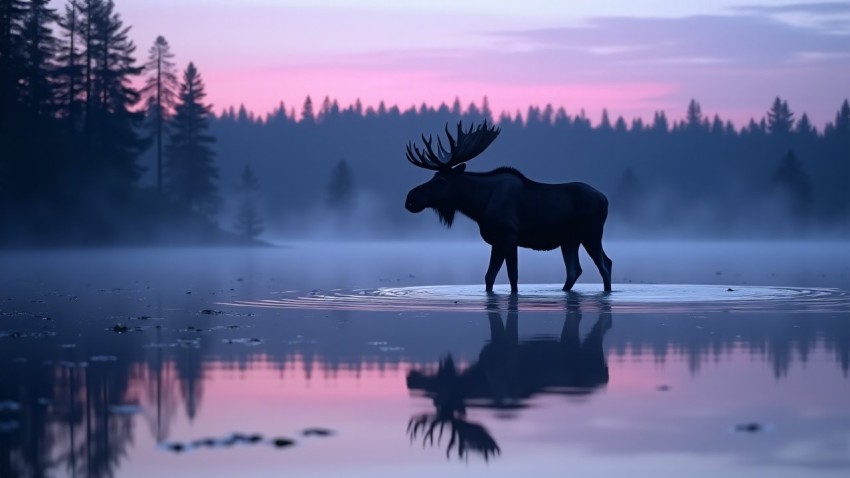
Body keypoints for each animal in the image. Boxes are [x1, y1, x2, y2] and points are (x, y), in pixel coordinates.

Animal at [404, 120, 608, 292]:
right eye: (433, 176)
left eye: (441, 180)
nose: (410, 198)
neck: (478, 206)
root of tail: (605, 199)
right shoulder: (496, 240)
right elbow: (489, 277)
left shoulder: (510, 236)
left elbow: (513, 277)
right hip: (569, 240)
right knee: (575, 271)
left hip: (591, 234)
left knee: (605, 265)